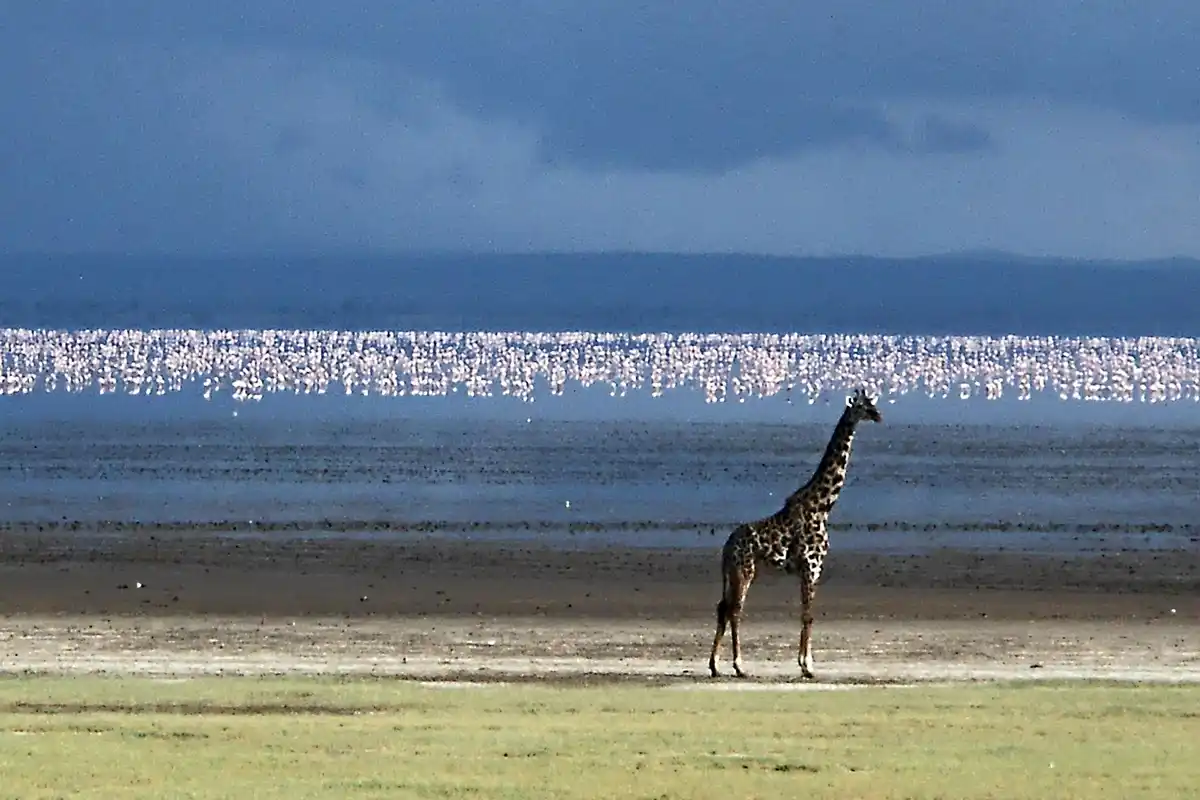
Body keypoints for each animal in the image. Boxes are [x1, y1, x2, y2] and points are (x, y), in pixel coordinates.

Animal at [708, 388, 882, 679]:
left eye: (872, 403)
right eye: (861, 406)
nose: (879, 415)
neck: (823, 506)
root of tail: (726, 548)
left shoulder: (805, 570)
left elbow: (804, 613)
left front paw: (804, 663)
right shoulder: (812, 566)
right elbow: (808, 614)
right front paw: (807, 667)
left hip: (731, 574)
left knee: (722, 607)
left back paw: (714, 665)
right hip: (745, 571)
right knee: (735, 611)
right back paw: (739, 666)